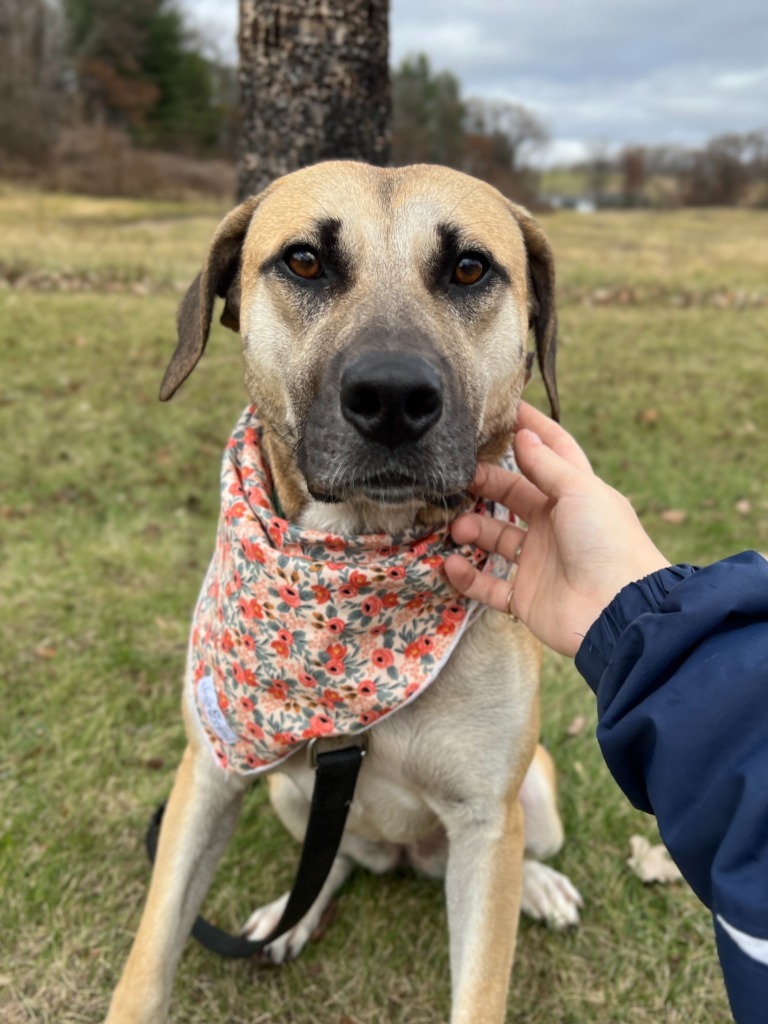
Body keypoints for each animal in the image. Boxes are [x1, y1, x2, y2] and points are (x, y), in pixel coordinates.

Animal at [103, 161, 581, 1024]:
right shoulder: (210, 772)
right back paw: (291, 916)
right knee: (333, 862)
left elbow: (481, 984)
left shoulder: (485, 817)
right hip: (289, 798)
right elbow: (151, 956)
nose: (392, 397)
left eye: (469, 269)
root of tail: (406, 855)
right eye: (303, 262)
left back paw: (536, 883)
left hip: (534, 799)